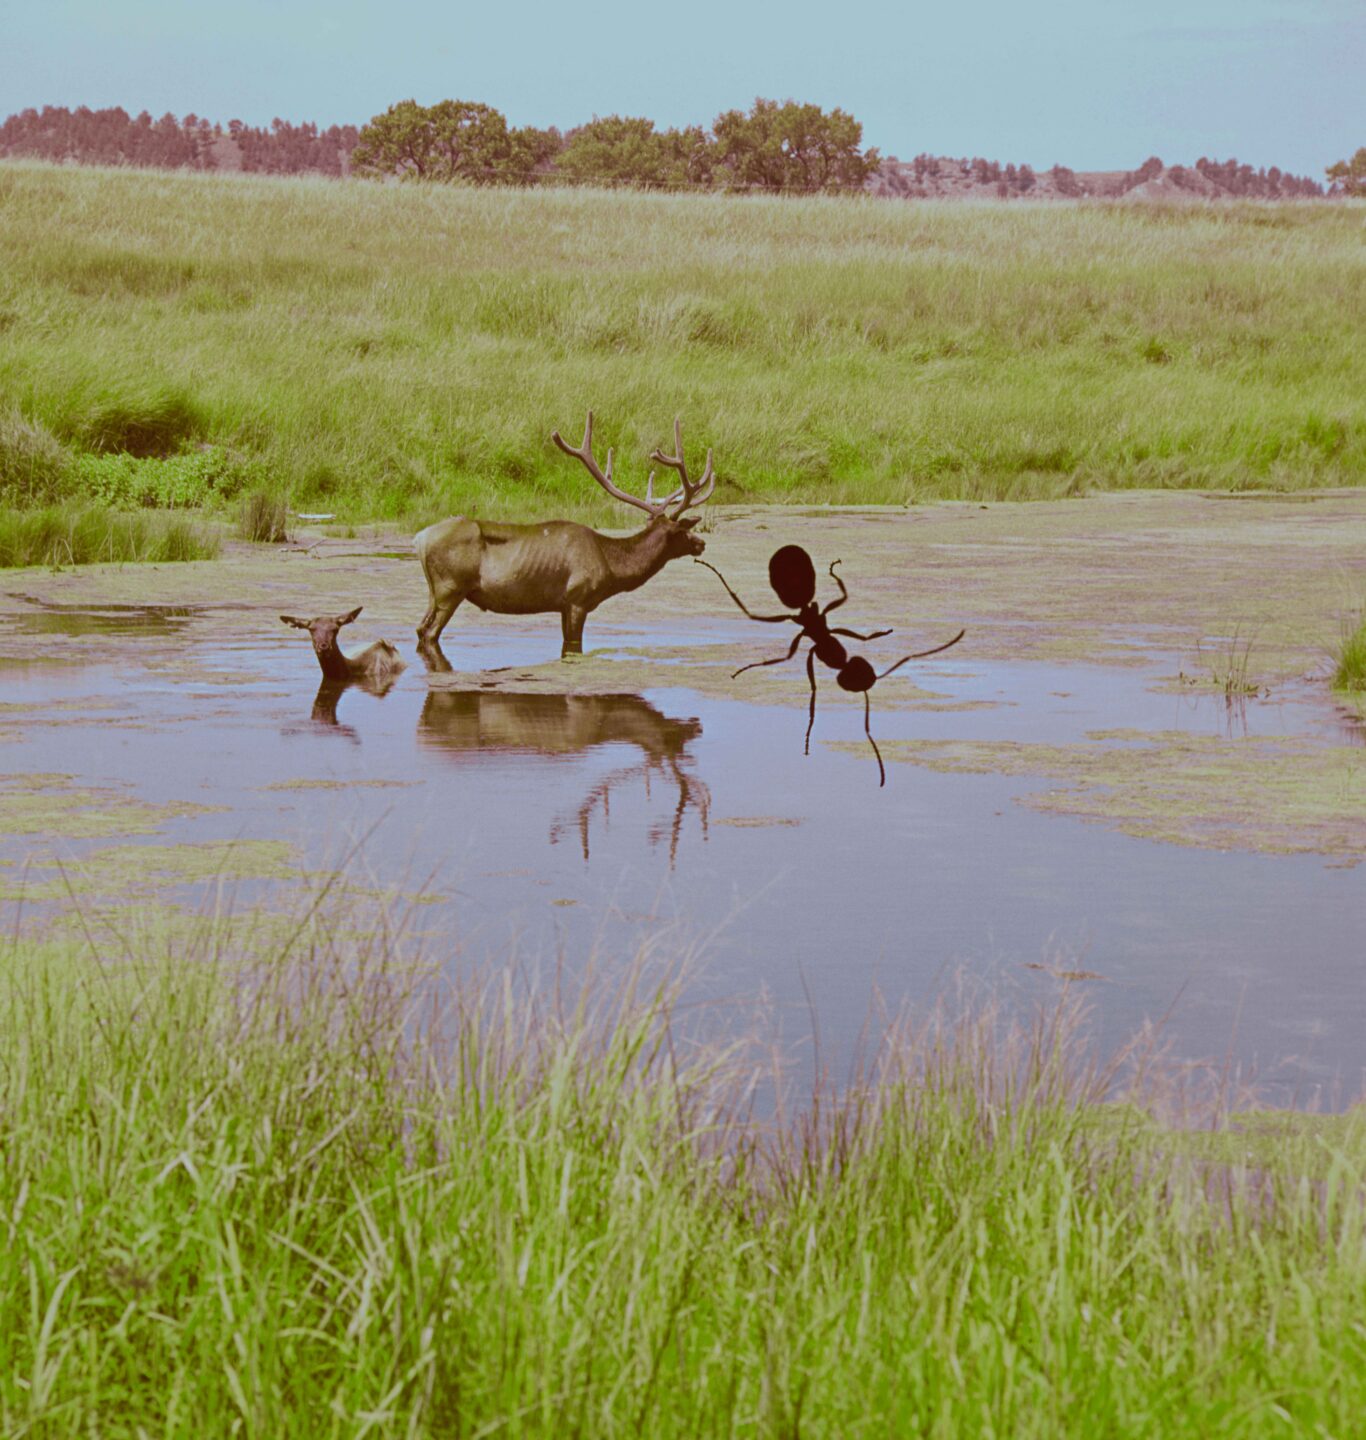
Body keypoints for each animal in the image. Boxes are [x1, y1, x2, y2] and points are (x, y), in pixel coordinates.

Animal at [414, 412, 715, 662]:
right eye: (682, 530)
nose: (701, 543)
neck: (611, 565)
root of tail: (420, 538)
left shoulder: (561, 605)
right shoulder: (577, 598)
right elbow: (573, 646)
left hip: (434, 591)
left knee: (419, 628)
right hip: (450, 587)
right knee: (428, 632)